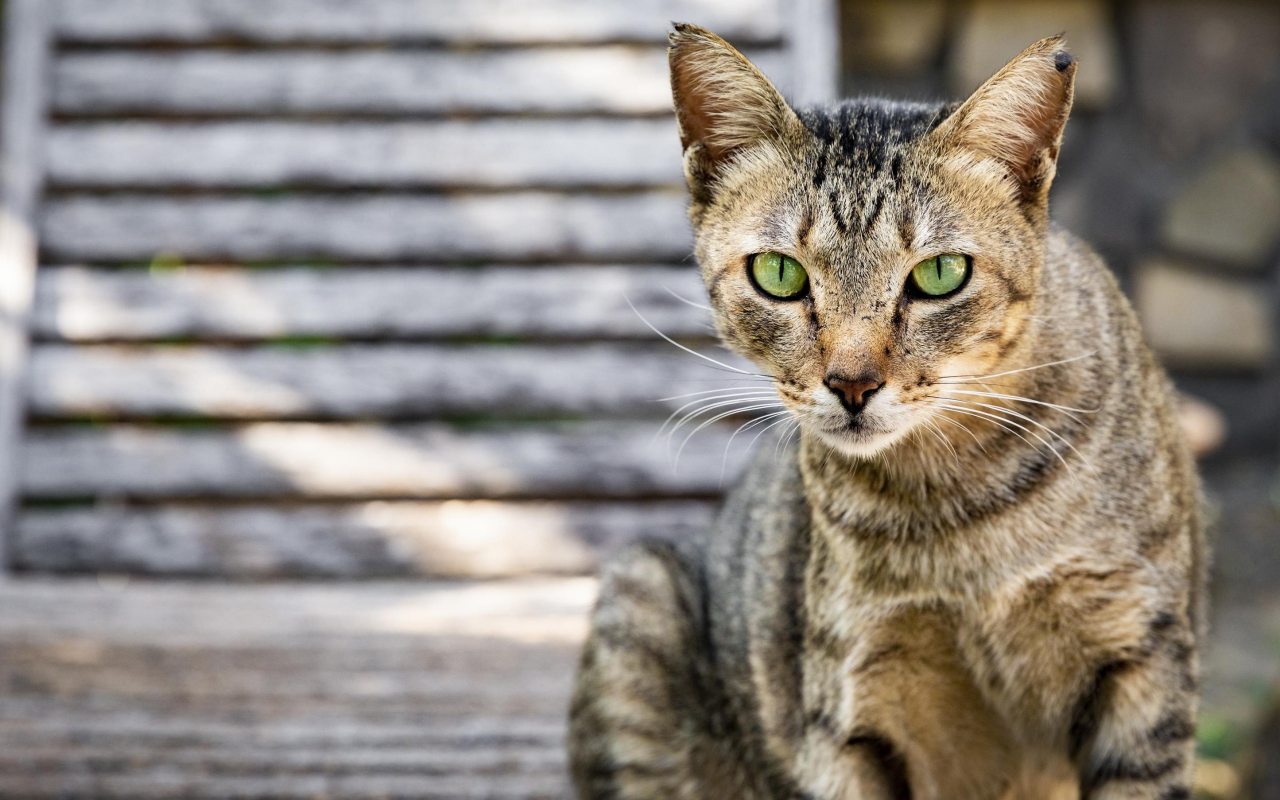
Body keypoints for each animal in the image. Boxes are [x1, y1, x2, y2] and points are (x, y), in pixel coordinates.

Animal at [565, 24, 1203, 798]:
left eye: (940, 274)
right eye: (779, 273)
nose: (851, 383)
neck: (956, 516)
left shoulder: (1142, 662)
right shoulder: (848, 709)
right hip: (642, 597)